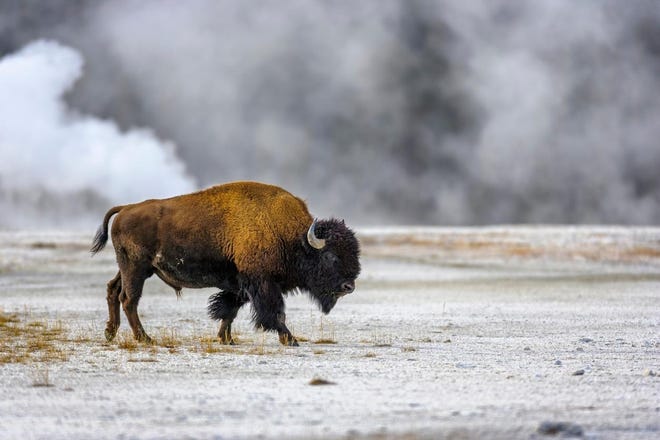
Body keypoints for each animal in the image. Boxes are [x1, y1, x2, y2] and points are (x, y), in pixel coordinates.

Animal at [90, 181, 360, 346]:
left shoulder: (240, 284)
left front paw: (226, 339)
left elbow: (229, 310)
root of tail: (126, 208)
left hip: (133, 269)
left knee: (113, 290)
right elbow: (275, 313)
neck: (292, 237)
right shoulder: (261, 283)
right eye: (331, 256)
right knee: (129, 299)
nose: (349, 287)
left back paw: (110, 333)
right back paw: (144, 338)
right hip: (136, 268)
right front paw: (290, 339)